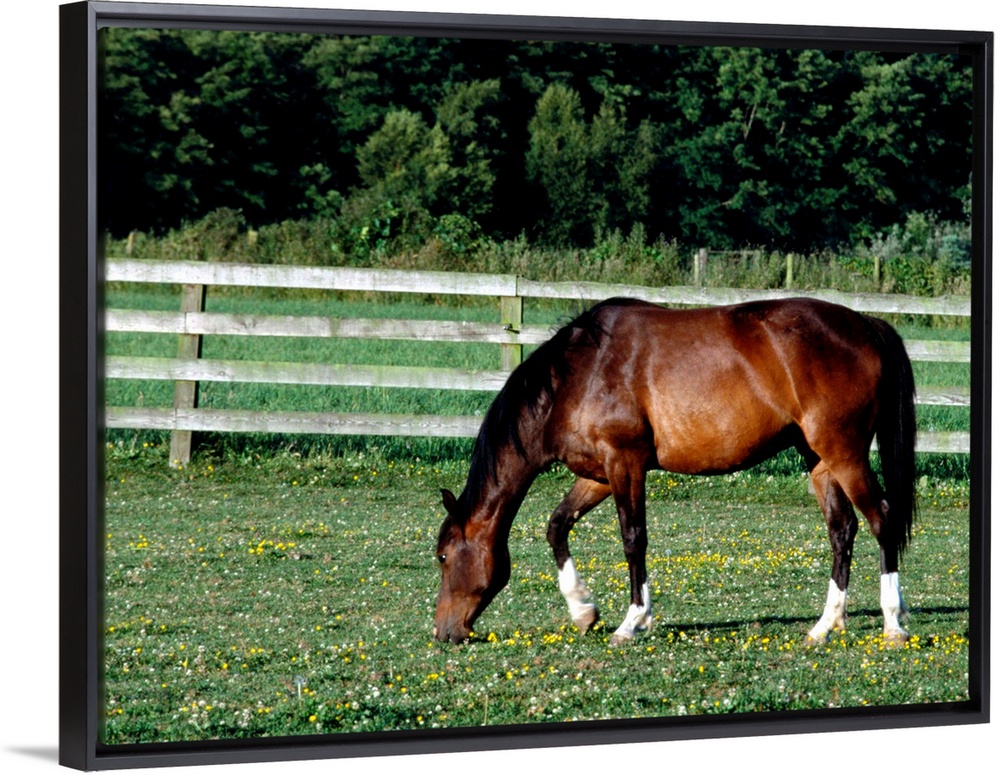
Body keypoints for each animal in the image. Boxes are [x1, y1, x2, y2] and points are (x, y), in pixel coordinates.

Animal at [433, 296, 916, 647]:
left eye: (442, 557)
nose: (443, 632)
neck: (579, 374)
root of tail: (865, 325)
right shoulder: (600, 474)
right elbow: (557, 525)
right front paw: (584, 611)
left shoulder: (625, 463)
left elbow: (633, 540)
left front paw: (632, 622)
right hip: (819, 460)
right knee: (842, 530)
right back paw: (824, 626)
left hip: (845, 454)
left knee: (881, 519)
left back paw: (893, 624)